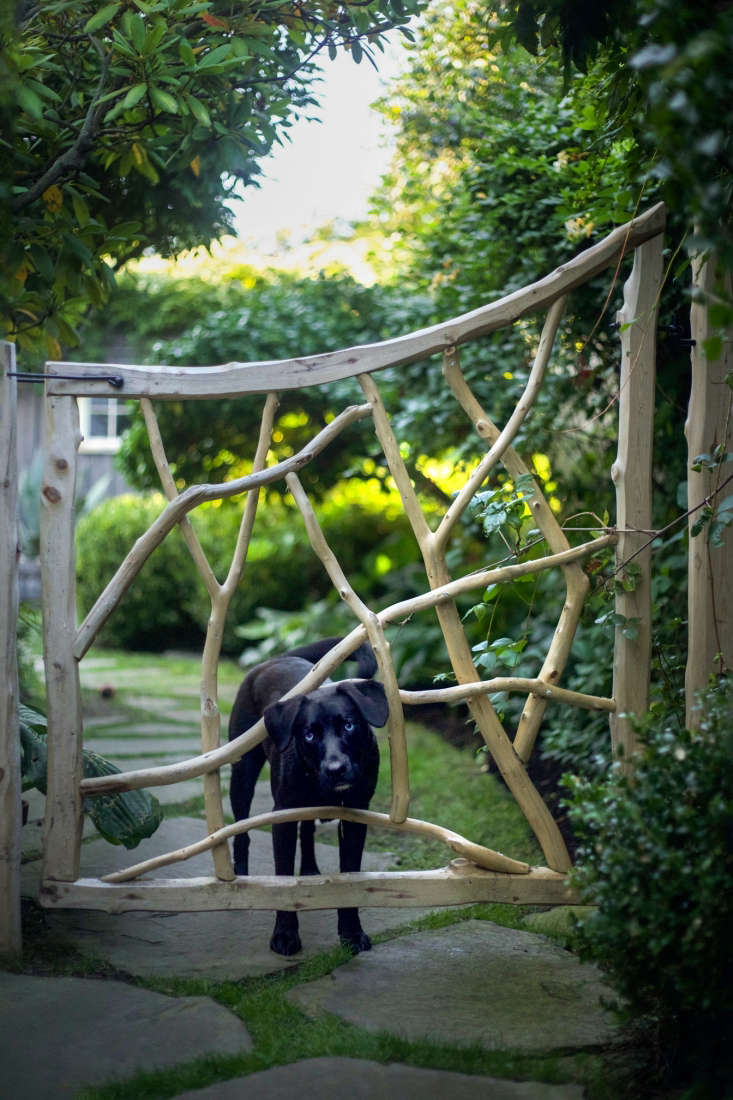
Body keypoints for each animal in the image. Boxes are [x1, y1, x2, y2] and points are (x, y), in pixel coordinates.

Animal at [228, 638, 387, 954]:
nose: (336, 770)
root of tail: (275, 659)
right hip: (242, 775)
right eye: (309, 735)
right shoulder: (283, 817)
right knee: (241, 832)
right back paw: (241, 875)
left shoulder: (355, 817)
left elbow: (349, 877)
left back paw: (311, 869)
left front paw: (352, 933)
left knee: (308, 830)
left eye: (349, 725)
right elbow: (284, 879)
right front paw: (285, 935)